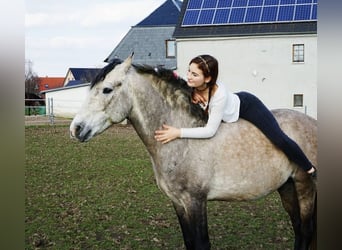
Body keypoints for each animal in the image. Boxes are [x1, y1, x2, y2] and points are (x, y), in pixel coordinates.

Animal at [70, 55, 318, 250]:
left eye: (107, 89)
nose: (76, 129)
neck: (182, 141)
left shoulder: (195, 201)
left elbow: (201, 243)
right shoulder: (179, 203)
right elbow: (190, 242)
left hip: (304, 185)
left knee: (306, 231)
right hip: (286, 187)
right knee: (299, 230)